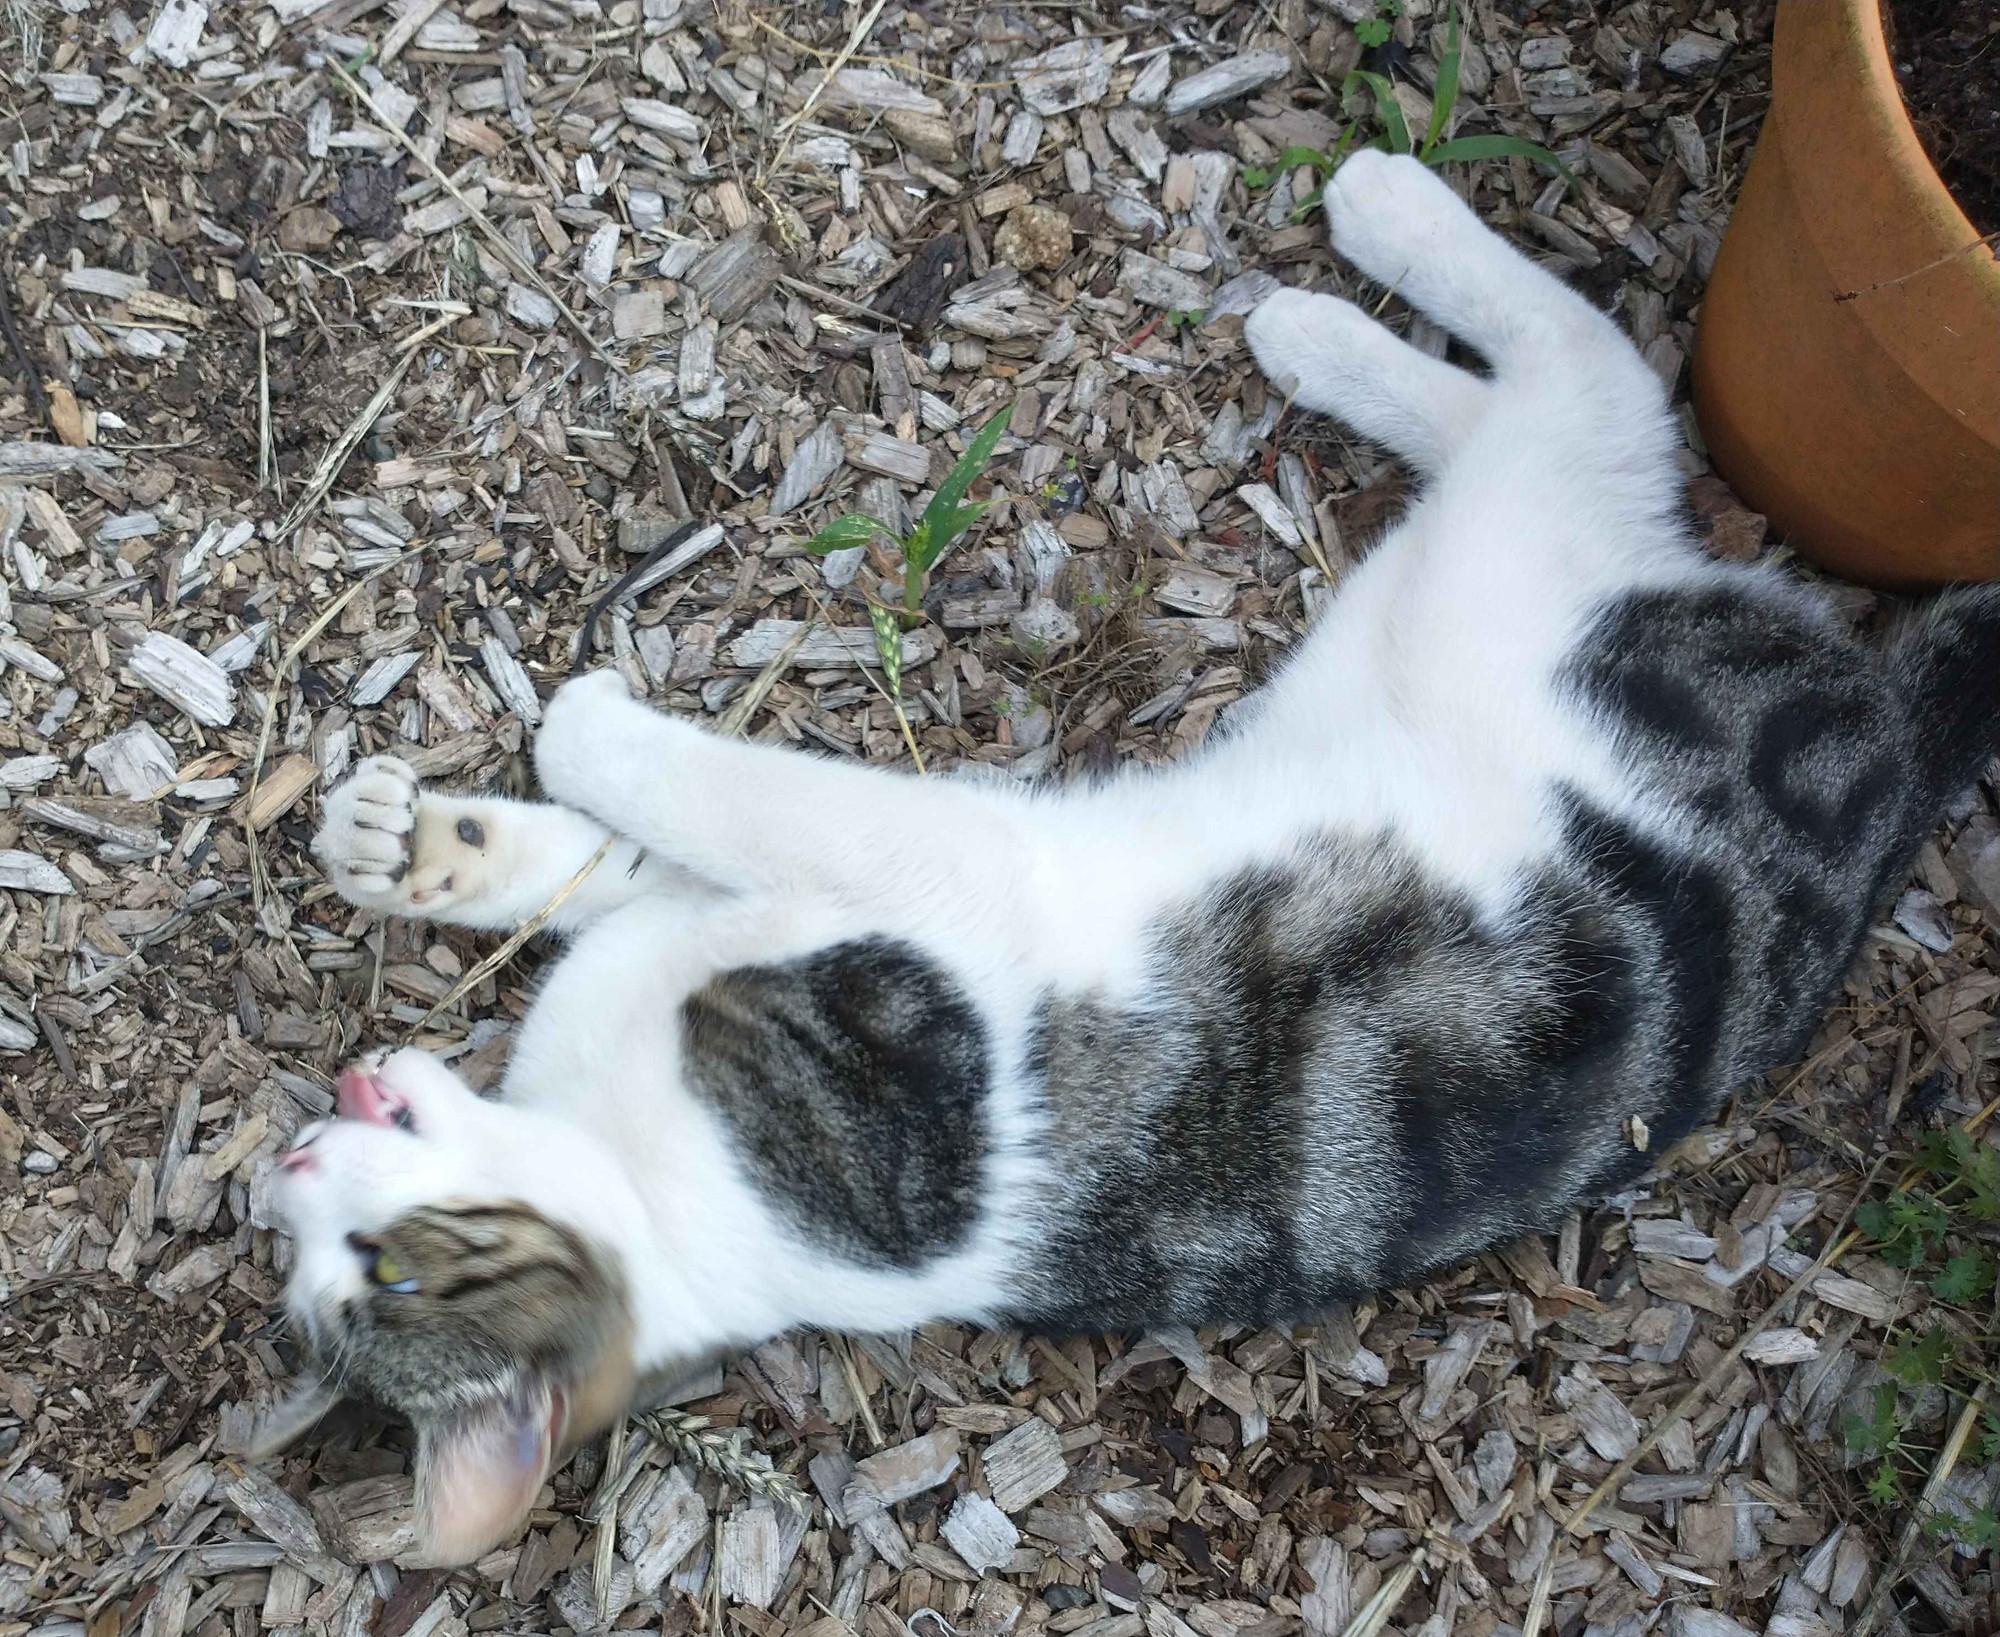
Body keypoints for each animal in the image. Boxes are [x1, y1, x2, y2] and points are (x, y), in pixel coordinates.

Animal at [274, 156, 1992, 1568]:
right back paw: (1325, 324)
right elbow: (641, 863)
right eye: (323, 1286)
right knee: (1573, 419)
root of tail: (1899, 754)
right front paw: (442, 844)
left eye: (393, 1274)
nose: (296, 1154)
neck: (659, 1180)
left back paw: (1374, 226)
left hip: (1500, 595)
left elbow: (695, 800)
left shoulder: (929, 872)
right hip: (1470, 586)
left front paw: (498, 791)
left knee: (1597, 373)